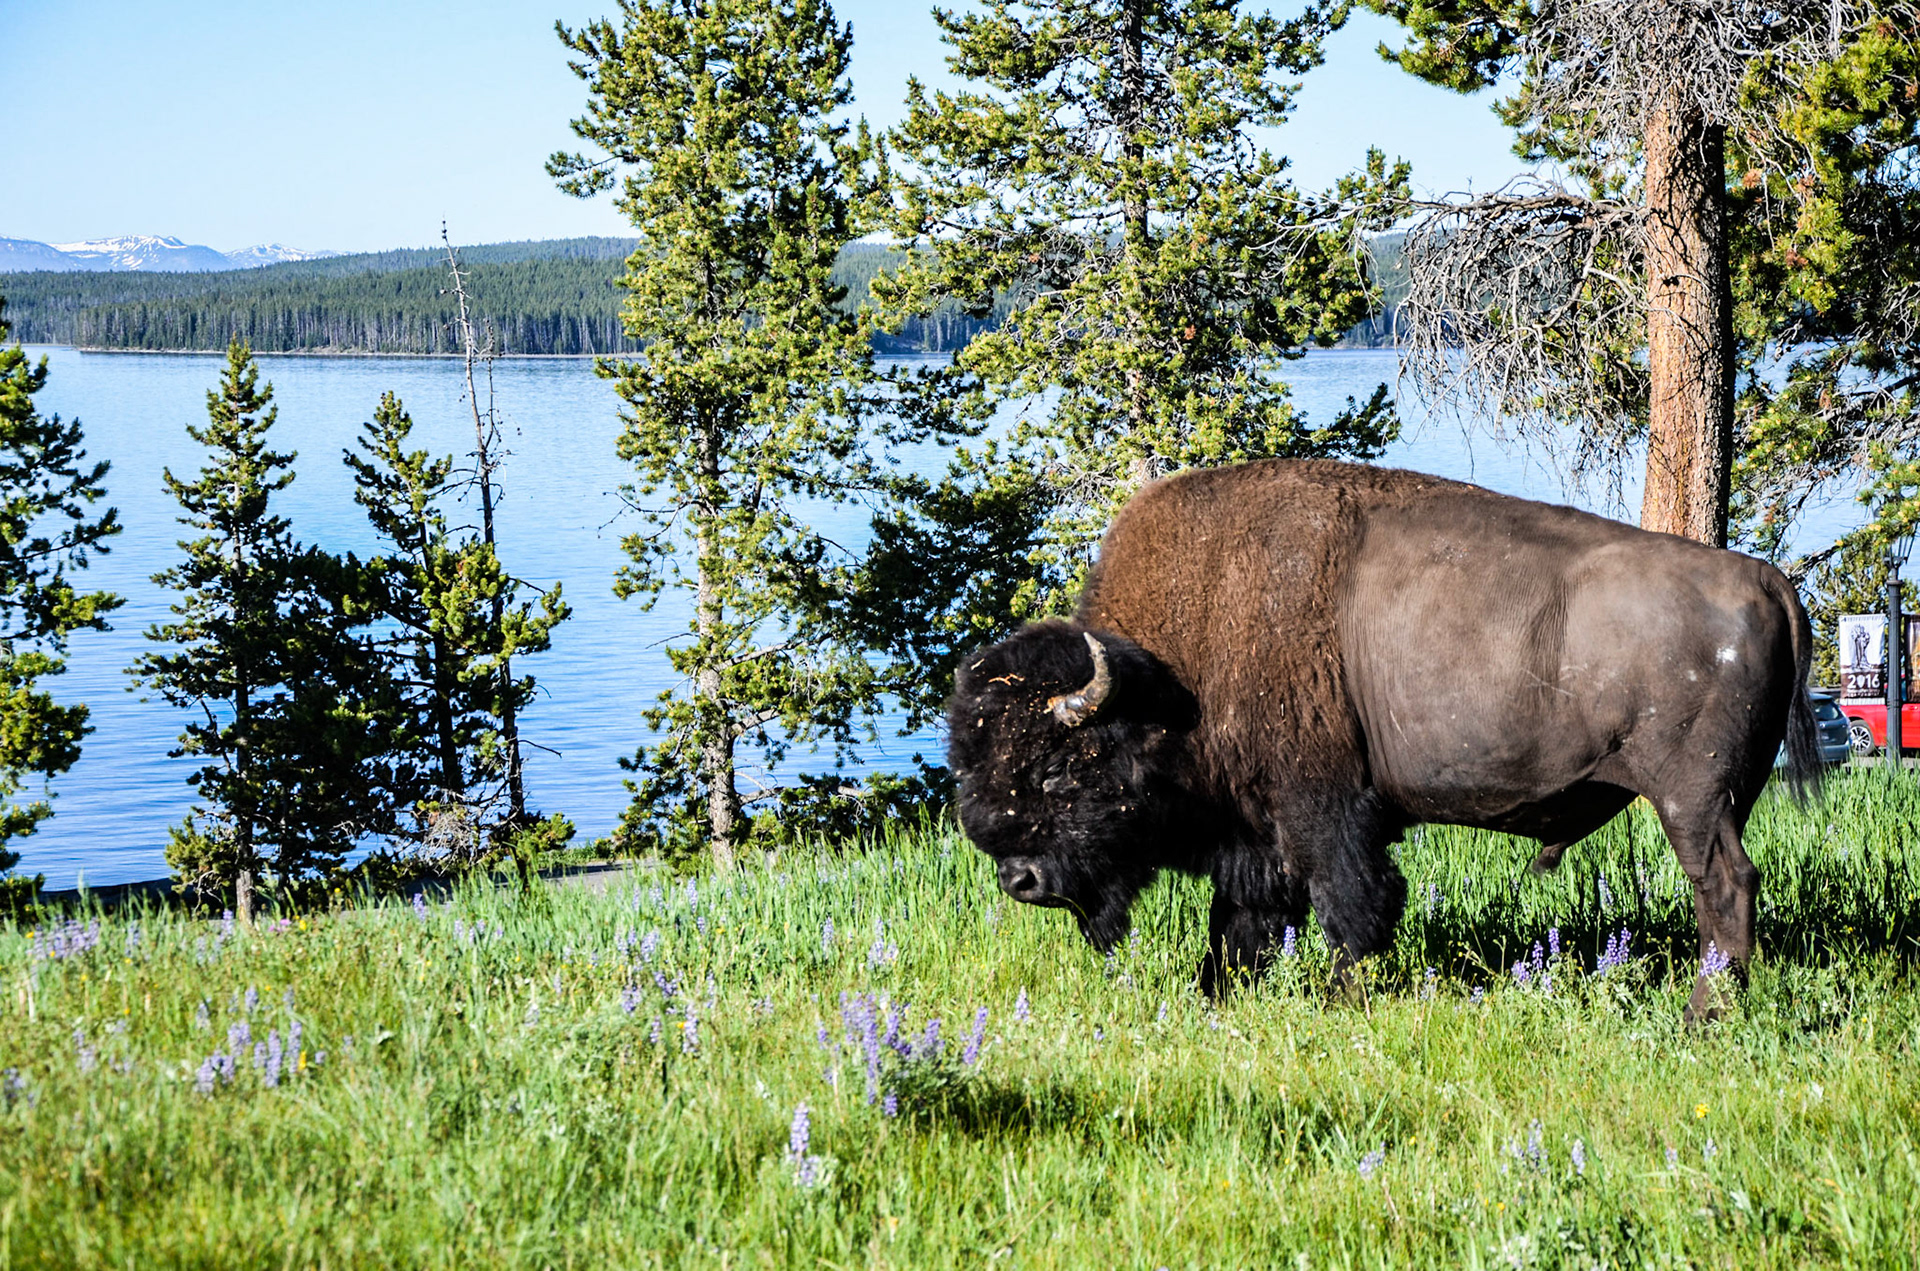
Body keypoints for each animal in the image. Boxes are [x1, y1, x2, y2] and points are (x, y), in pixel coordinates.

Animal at [948, 460, 1819, 1022]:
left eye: (1059, 770)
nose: (1021, 879)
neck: (1165, 680)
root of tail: (1764, 578)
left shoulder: (1324, 810)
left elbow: (1351, 906)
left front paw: (1343, 998)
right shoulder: (1255, 833)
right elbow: (1241, 923)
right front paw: (1221, 996)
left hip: (1692, 799)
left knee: (1725, 885)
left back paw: (1706, 1013)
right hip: (1722, 797)